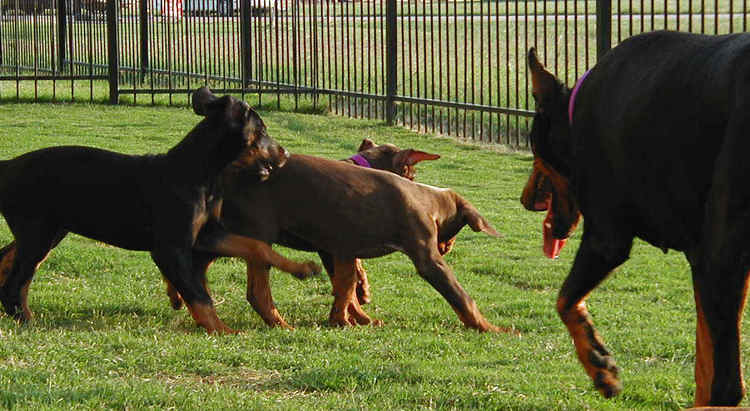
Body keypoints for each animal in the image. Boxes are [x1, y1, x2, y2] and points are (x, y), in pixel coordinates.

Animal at [0, 87, 320, 334]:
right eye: (262, 131)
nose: (286, 154)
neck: (200, 174)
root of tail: (9, 165)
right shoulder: (170, 248)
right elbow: (199, 295)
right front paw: (223, 330)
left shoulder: (207, 235)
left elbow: (256, 247)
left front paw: (303, 268)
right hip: (39, 233)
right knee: (16, 283)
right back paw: (26, 320)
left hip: (50, 231)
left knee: (9, 261)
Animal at [524, 30, 750, 408]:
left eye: (534, 148)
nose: (525, 200)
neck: (575, 110)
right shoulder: (700, 260)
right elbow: (703, 364)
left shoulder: (607, 239)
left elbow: (564, 299)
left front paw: (600, 367)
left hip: (723, 250)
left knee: (729, 386)